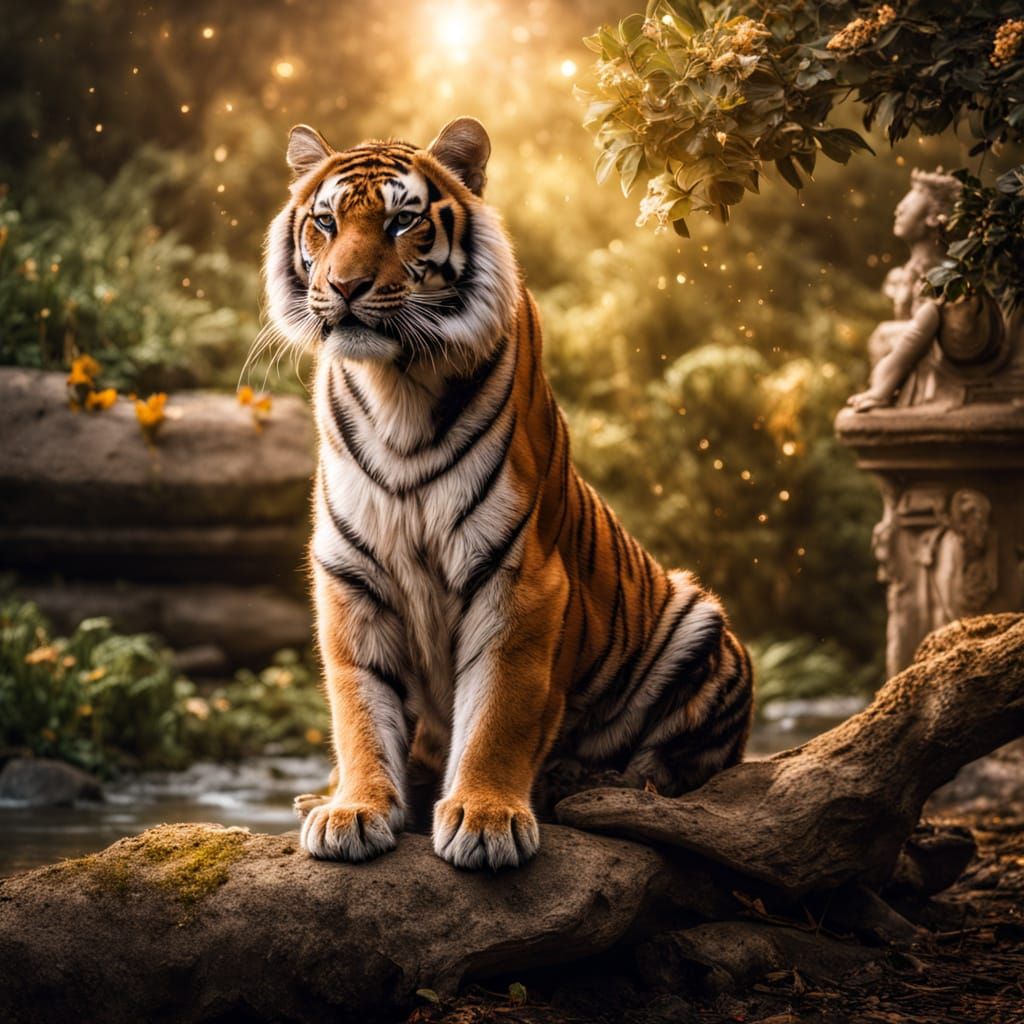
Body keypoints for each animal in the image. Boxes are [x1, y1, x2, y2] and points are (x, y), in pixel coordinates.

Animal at [263, 116, 754, 871]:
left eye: (402, 222)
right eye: (325, 222)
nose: (344, 286)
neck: (394, 385)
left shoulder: (519, 577)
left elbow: (500, 709)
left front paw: (486, 820)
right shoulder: (351, 575)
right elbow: (359, 706)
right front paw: (355, 809)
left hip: (701, 625)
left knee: (672, 766)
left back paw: (576, 780)